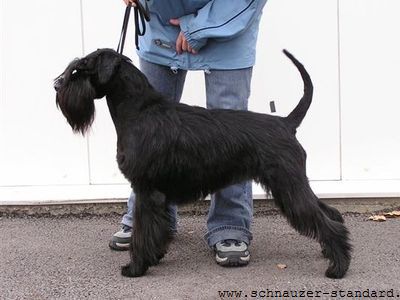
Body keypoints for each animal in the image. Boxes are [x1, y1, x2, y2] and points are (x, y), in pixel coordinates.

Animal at [55, 47, 350, 278]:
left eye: (80, 69)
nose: (57, 86)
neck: (139, 110)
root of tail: (286, 123)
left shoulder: (146, 190)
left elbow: (143, 230)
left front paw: (136, 267)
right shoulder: (158, 195)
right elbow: (158, 228)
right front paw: (155, 256)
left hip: (288, 186)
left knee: (328, 221)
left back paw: (338, 268)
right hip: (293, 184)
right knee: (331, 212)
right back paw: (330, 253)